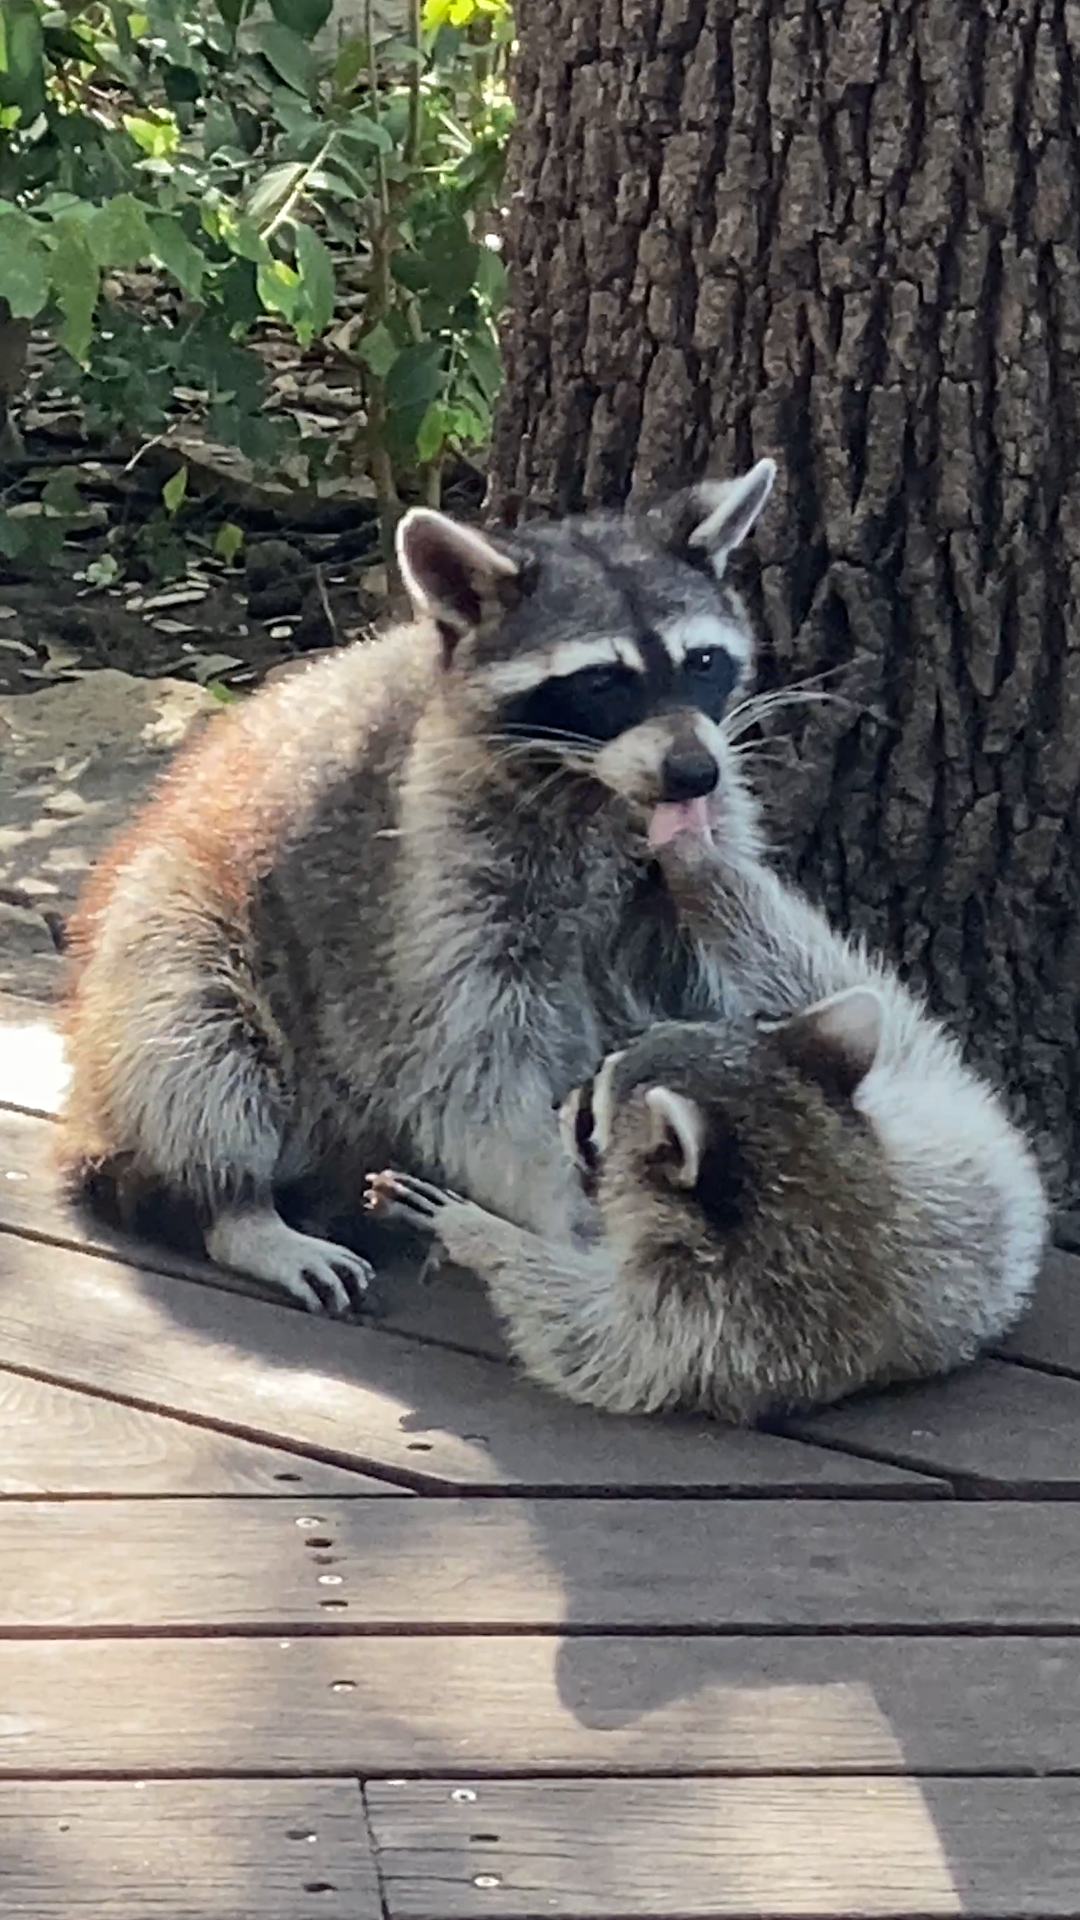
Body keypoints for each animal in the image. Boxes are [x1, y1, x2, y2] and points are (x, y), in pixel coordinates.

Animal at [58, 460, 777, 1313]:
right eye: (602, 682)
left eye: (702, 661)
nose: (693, 773)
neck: (590, 785)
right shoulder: (433, 864)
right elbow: (467, 1064)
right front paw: (561, 1210)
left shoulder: (684, 849)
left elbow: (710, 967)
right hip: (173, 925)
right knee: (191, 1051)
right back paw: (236, 1210)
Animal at [366, 840, 1048, 1421]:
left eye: (590, 1121)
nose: (560, 1101)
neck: (829, 1180)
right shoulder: (941, 1138)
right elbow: (847, 983)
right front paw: (699, 863)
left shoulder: (704, 1322)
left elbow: (577, 1329)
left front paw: (477, 1235)